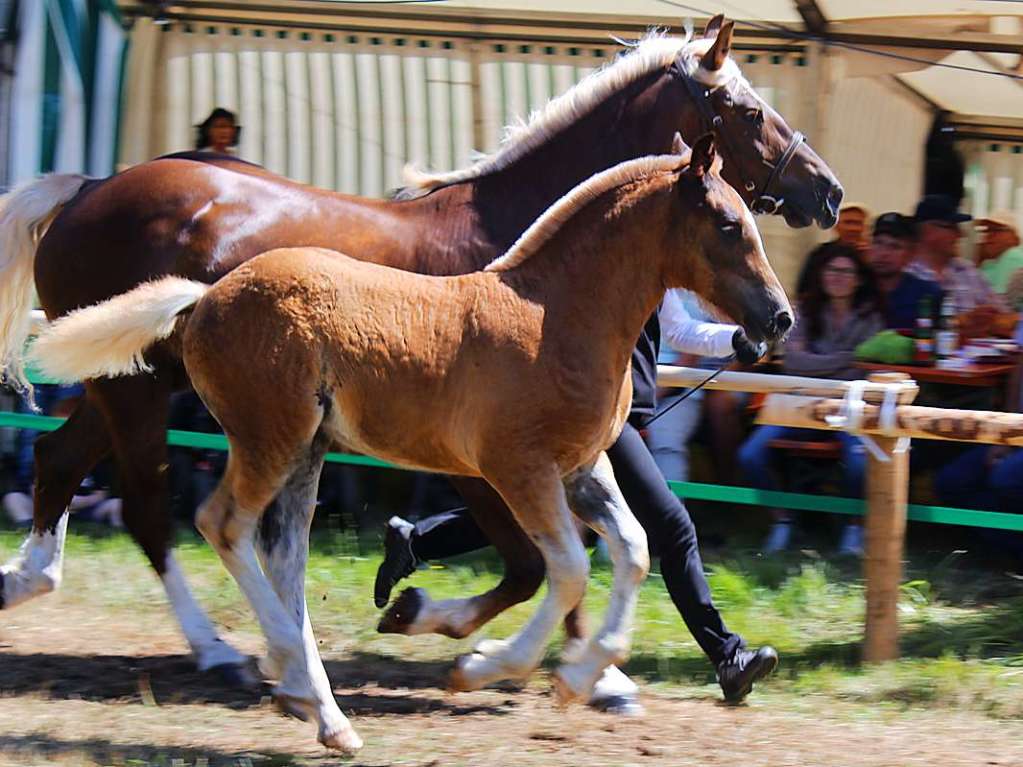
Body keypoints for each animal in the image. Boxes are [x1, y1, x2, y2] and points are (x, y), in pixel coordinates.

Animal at [28, 134, 785, 752]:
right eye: (727, 224)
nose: (776, 318)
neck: (556, 312)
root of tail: (204, 296)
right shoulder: (517, 468)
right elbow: (568, 567)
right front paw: (484, 666)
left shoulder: (581, 466)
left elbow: (632, 548)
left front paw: (579, 675)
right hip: (265, 436)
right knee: (218, 523)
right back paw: (285, 680)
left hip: (304, 448)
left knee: (278, 553)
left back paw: (317, 705)